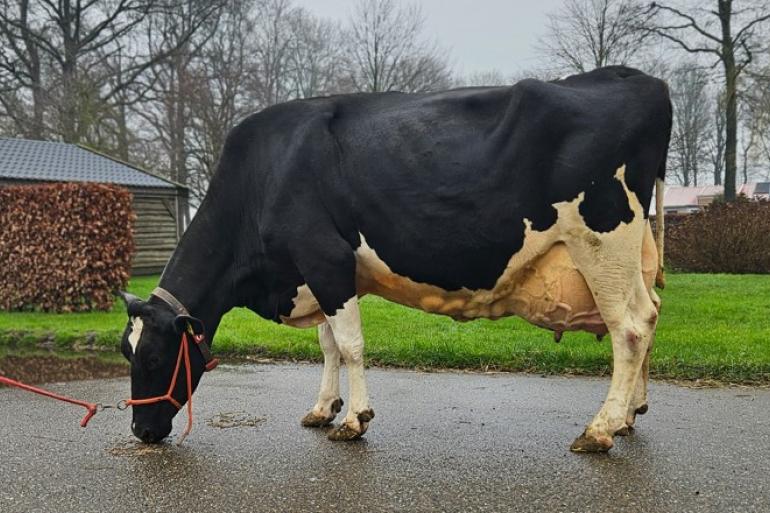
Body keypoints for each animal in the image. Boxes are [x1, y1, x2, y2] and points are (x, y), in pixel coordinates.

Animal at [117, 65, 668, 452]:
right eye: (125, 352)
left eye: (152, 357)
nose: (141, 430)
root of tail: (634, 76)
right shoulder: (318, 273)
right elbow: (328, 344)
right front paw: (324, 408)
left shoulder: (324, 257)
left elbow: (350, 344)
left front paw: (354, 421)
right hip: (632, 250)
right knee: (650, 315)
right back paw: (629, 414)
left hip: (602, 240)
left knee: (628, 329)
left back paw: (598, 430)